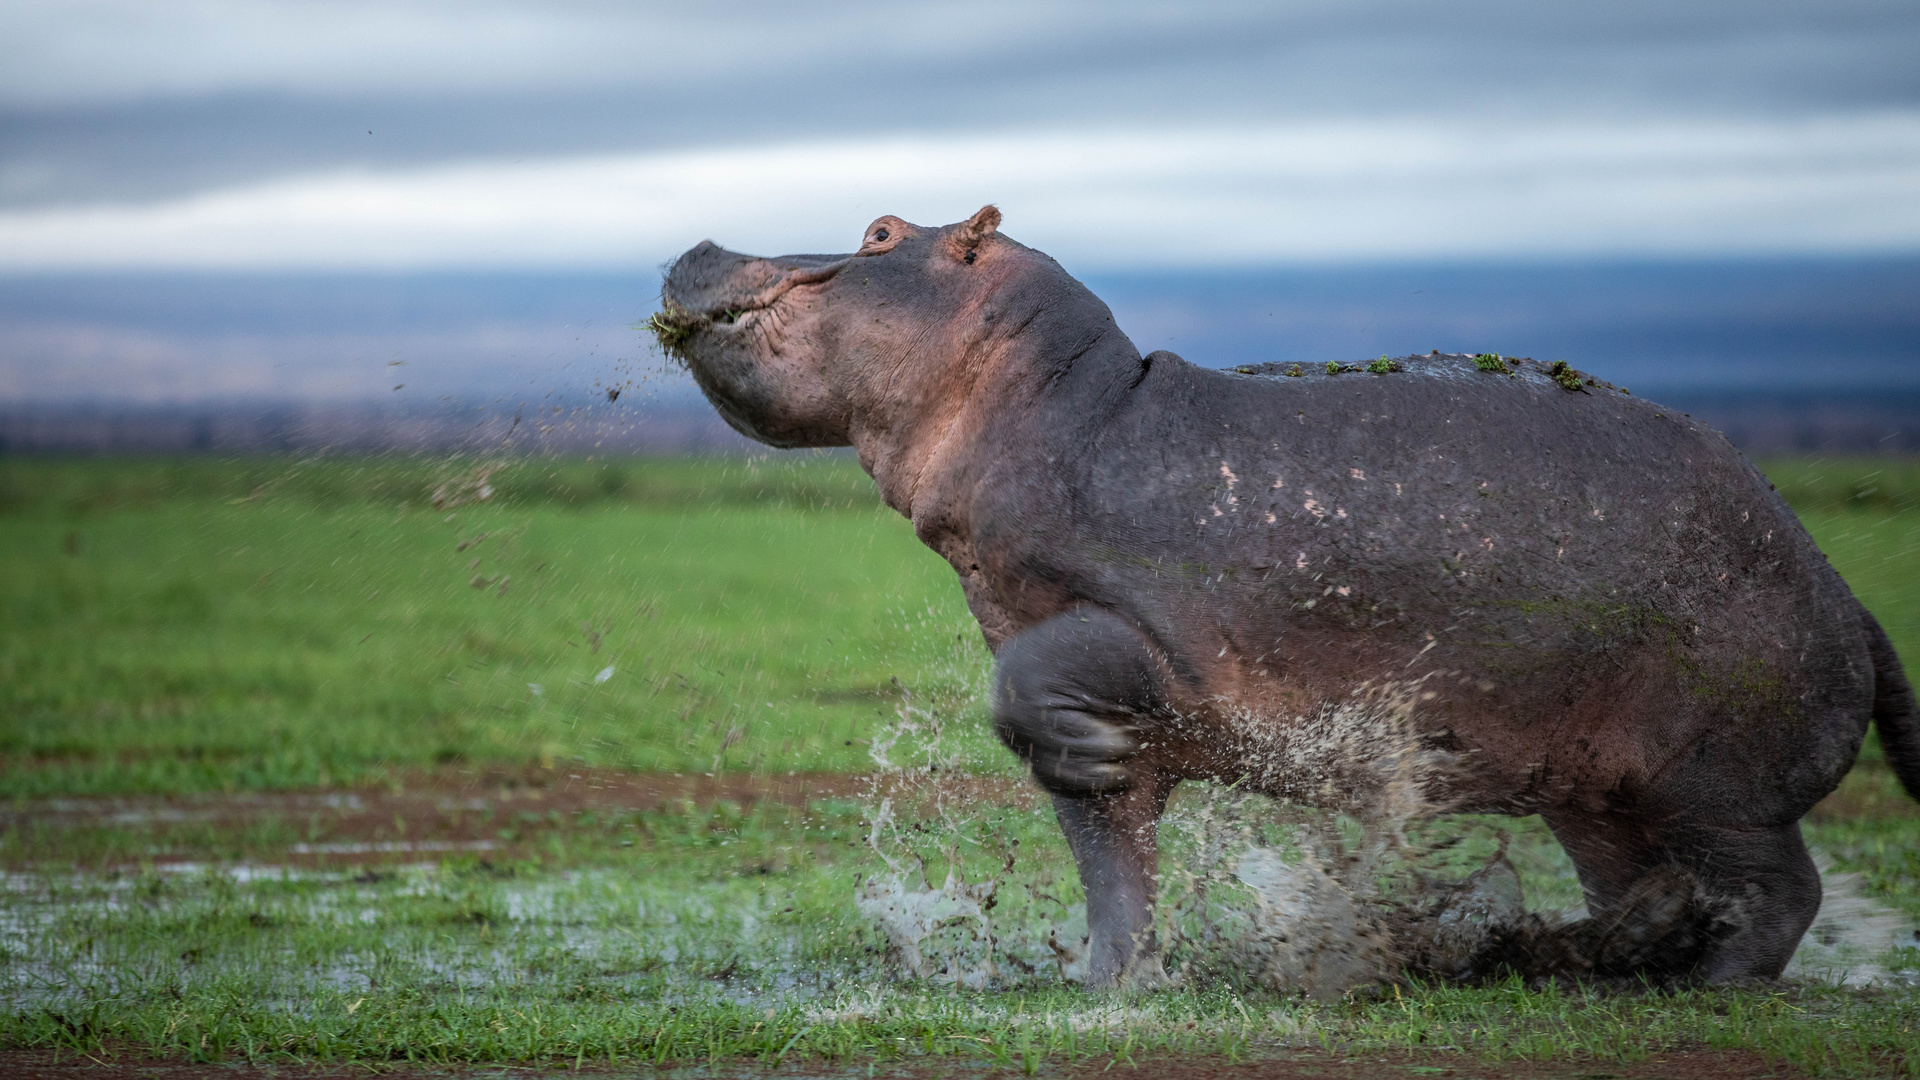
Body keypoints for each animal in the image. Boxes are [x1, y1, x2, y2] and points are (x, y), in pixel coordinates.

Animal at [652, 205, 1912, 991]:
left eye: (878, 234)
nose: (702, 237)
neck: (1059, 398)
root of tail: (1848, 596)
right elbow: (1107, 852)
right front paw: (1112, 984)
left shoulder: (1152, 640)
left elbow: (1030, 685)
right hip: (1604, 790)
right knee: (1653, 882)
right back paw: (1606, 961)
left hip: (1718, 783)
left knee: (1777, 891)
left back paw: (1710, 984)